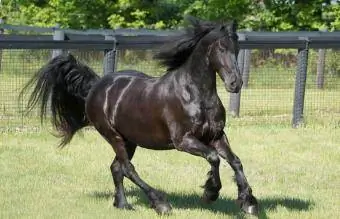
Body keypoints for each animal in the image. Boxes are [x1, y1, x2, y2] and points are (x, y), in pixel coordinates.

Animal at [21, 17, 258, 216]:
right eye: (221, 48)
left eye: (237, 48)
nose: (235, 84)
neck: (194, 94)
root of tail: (97, 86)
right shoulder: (184, 141)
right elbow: (213, 157)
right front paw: (211, 192)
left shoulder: (216, 136)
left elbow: (235, 161)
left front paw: (248, 202)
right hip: (113, 136)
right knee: (128, 168)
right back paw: (160, 203)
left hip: (130, 141)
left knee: (117, 168)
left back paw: (123, 204)